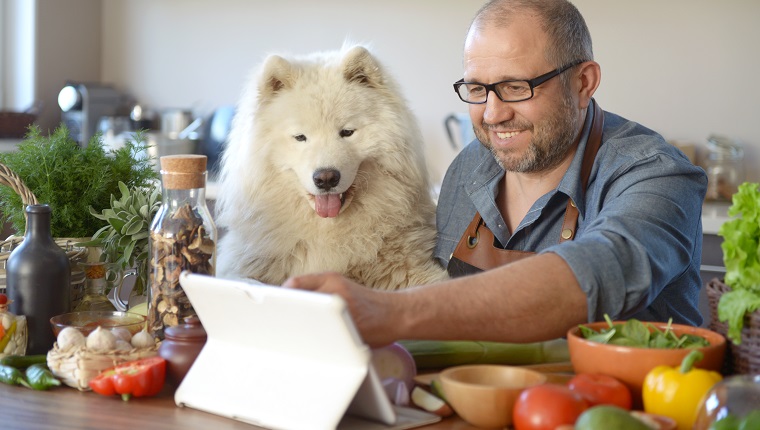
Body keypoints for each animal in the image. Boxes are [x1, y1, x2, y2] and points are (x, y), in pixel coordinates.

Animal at [214, 45, 448, 290]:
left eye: (347, 132)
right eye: (300, 137)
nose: (326, 178)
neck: (326, 234)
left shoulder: (413, 270)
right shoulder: (239, 264)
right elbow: (244, 281)